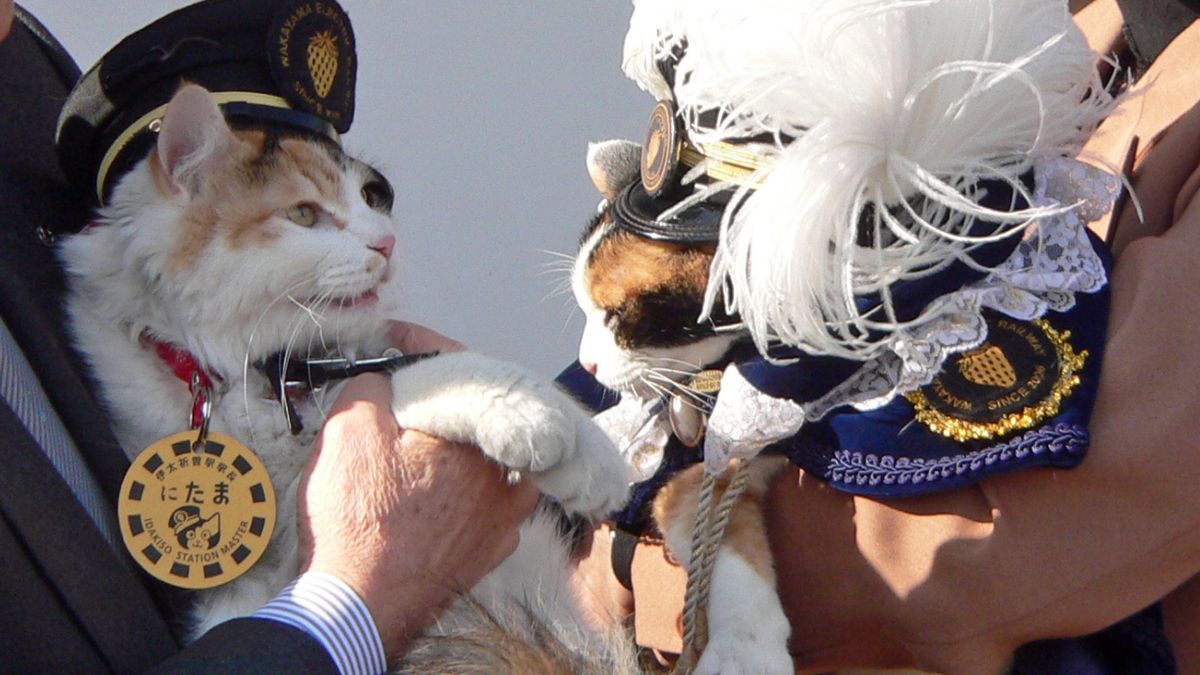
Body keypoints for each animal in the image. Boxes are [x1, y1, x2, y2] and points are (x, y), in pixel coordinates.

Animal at [60, 79, 633, 667]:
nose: (387, 242)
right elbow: (425, 375)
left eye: (369, 199)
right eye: (303, 214)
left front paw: (594, 459)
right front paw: (528, 418)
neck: (264, 374)